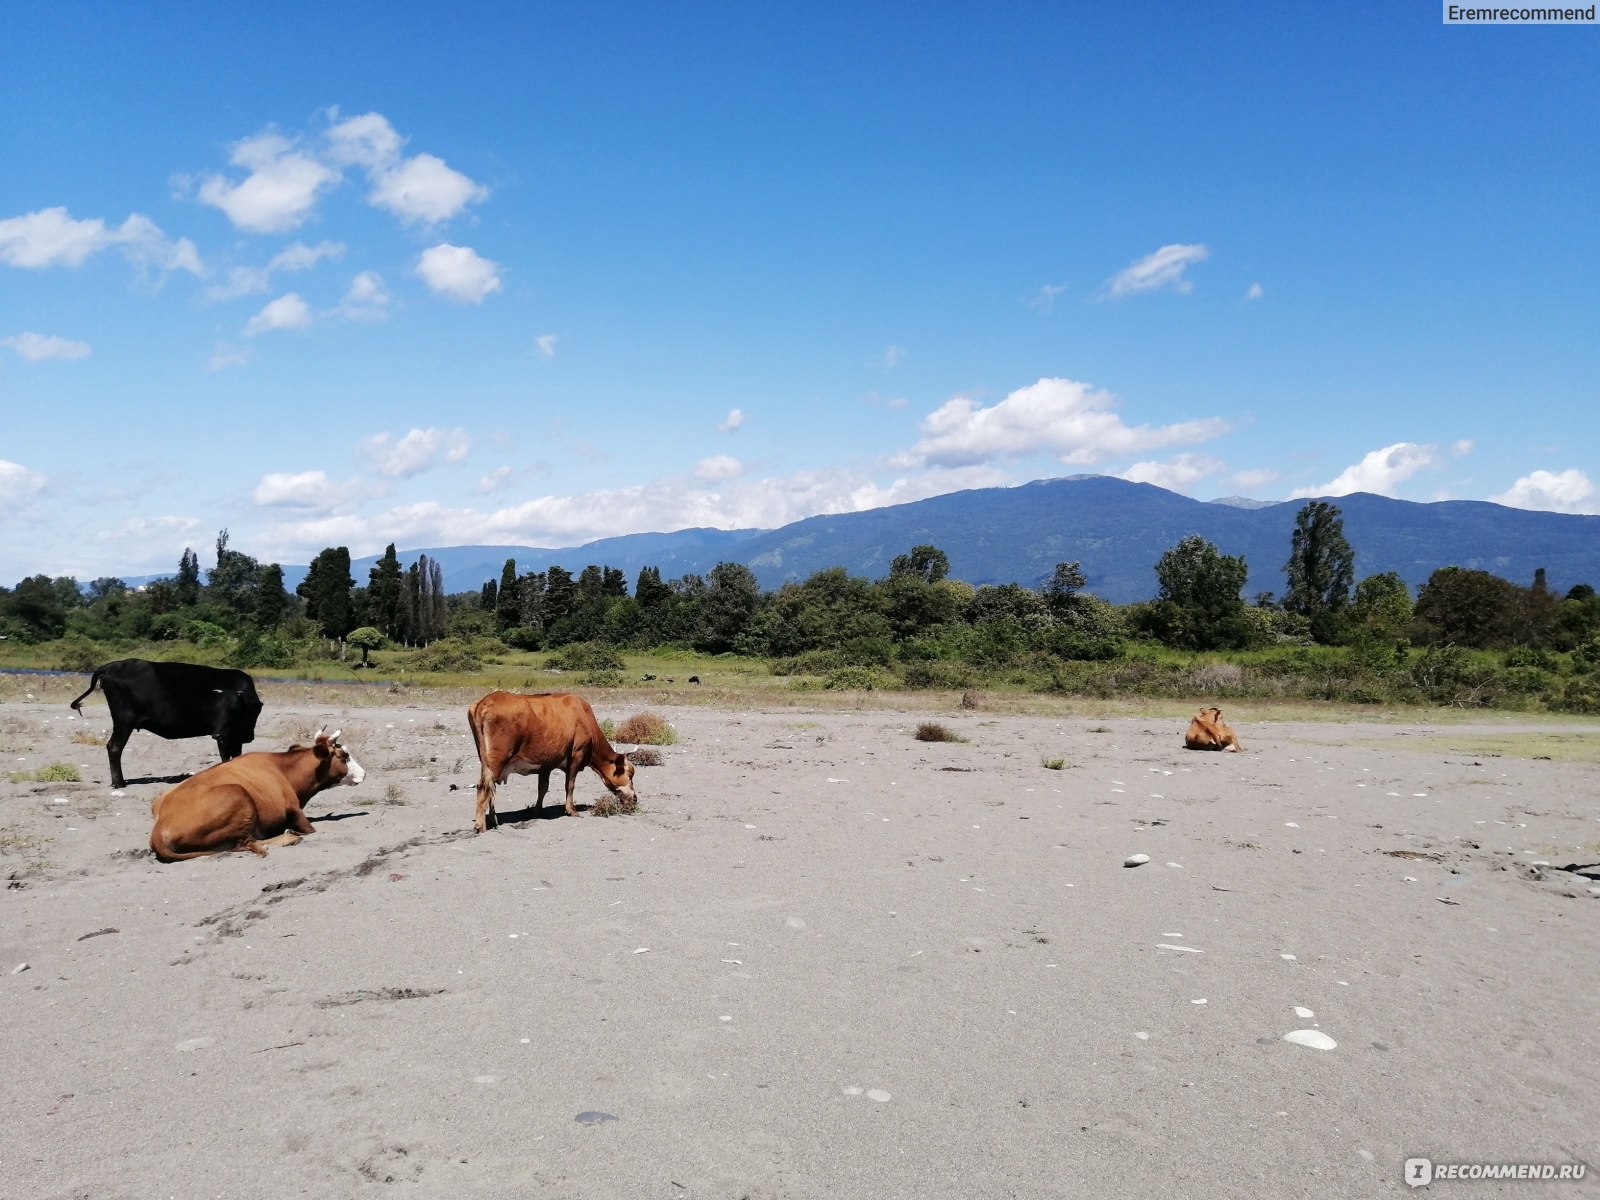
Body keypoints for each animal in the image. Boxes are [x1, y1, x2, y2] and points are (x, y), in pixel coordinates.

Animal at [68, 659, 262, 790]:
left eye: (235, 709)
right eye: (217, 708)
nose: (216, 734)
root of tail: (114, 665)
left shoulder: (234, 736)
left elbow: (236, 756)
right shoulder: (226, 737)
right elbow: (225, 758)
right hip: (123, 722)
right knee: (114, 747)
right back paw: (119, 783)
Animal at [148, 729, 366, 857]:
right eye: (344, 755)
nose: (364, 773)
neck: (285, 771)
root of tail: (159, 829)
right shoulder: (296, 812)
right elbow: (310, 829)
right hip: (237, 794)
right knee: (246, 843)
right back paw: (288, 838)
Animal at [467, 691, 633, 832]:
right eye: (630, 774)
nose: (635, 798)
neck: (584, 716)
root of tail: (484, 702)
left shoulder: (546, 763)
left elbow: (543, 788)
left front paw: (537, 810)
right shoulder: (577, 754)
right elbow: (570, 785)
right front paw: (571, 809)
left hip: (485, 761)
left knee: (490, 788)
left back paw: (493, 820)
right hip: (496, 761)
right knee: (484, 787)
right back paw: (481, 825)